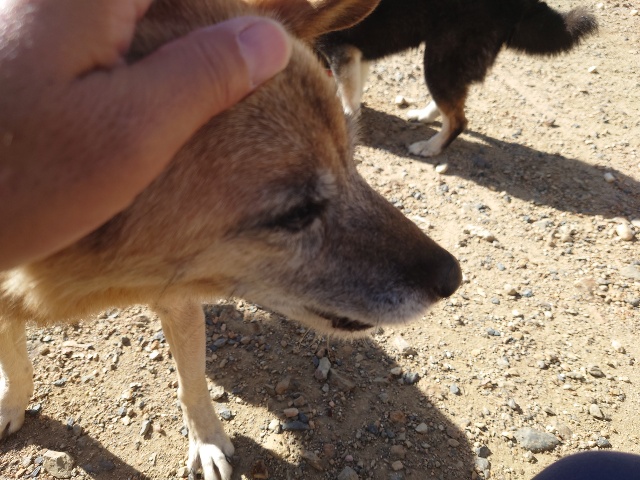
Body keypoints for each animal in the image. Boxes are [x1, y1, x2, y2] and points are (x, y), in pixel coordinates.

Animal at [0, 0, 462, 478]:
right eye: (295, 214)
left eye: (351, 160)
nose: (452, 276)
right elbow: (15, 362)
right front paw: (11, 405)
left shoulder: (179, 301)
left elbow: (191, 384)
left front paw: (206, 441)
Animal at [317, 0, 598, 157]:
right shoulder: (356, 54)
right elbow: (354, 91)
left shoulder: (341, 50)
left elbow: (348, 101)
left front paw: (346, 122)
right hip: (446, 58)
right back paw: (425, 115)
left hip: (441, 56)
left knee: (458, 120)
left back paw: (430, 148)